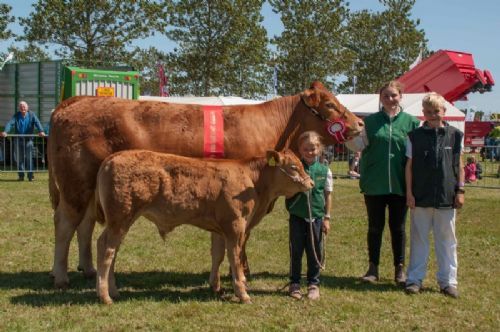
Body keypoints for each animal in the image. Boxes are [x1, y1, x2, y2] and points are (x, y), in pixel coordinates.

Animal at [48, 81, 364, 288]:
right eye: (330, 105)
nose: (360, 123)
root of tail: (76, 101)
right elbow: (241, 238)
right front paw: (242, 272)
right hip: (75, 185)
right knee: (65, 224)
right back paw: (61, 276)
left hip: (91, 190)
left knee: (85, 224)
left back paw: (88, 270)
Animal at [95, 150, 312, 304]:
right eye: (294, 167)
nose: (310, 183)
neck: (253, 181)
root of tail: (112, 158)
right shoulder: (235, 225)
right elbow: (235, 258)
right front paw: (242, 293)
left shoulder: (220, 229)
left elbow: (218, 254)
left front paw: (215, 286)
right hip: (120, 218)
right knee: (107, 250)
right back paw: (105, 296)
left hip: (120, 221)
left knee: (107, 247)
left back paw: (113, 291)